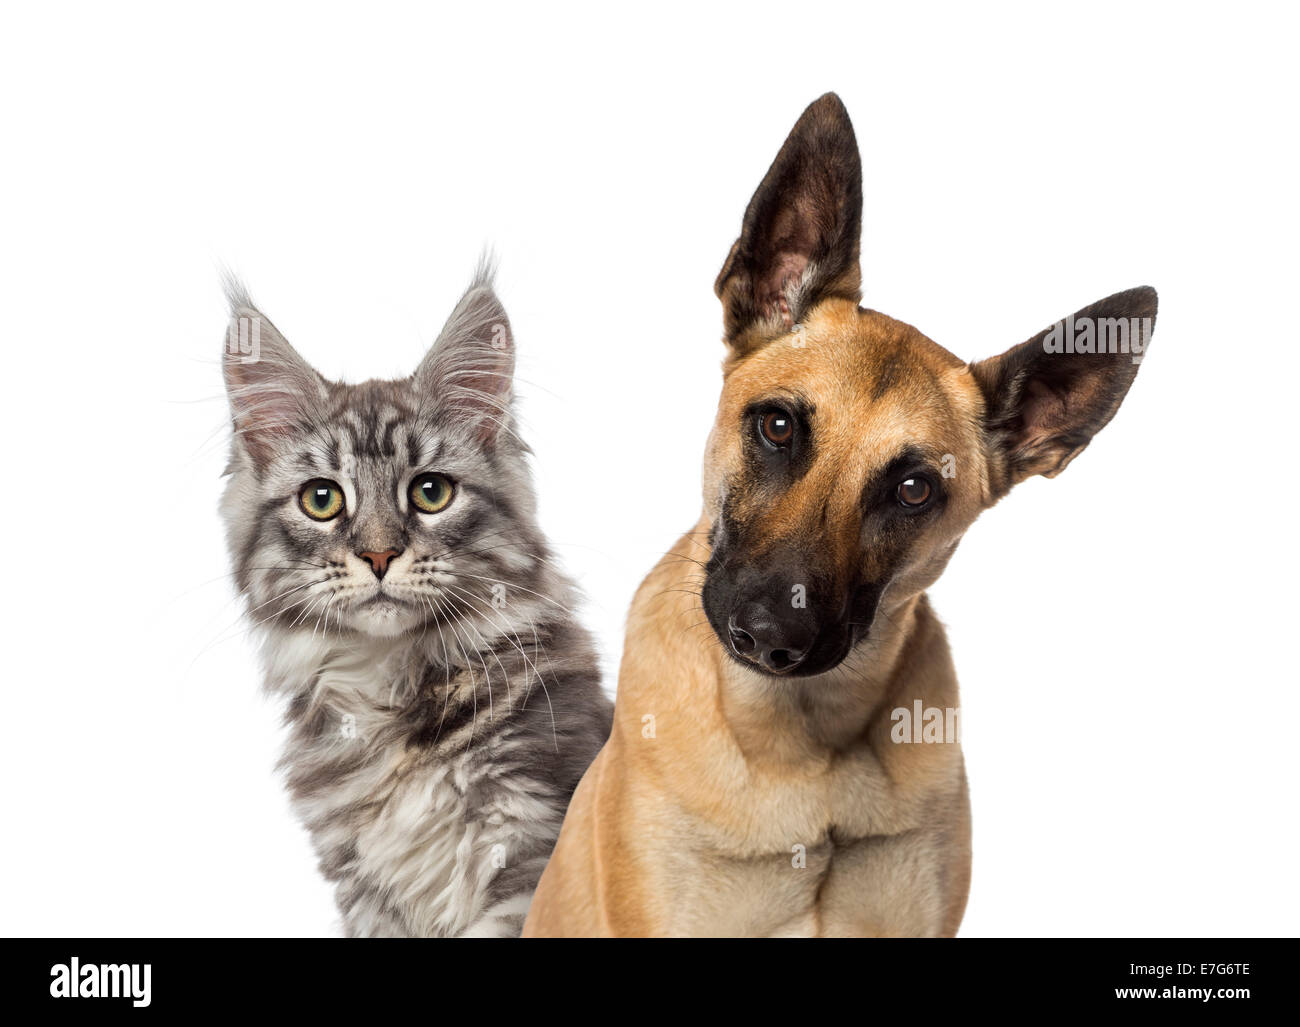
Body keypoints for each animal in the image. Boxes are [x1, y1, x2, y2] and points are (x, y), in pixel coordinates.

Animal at [220, 265, 611, 941]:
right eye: (321, 499)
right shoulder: (368, 895)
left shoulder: (530, 848)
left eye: (431, 492)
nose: (378, 555)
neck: (389, 696)